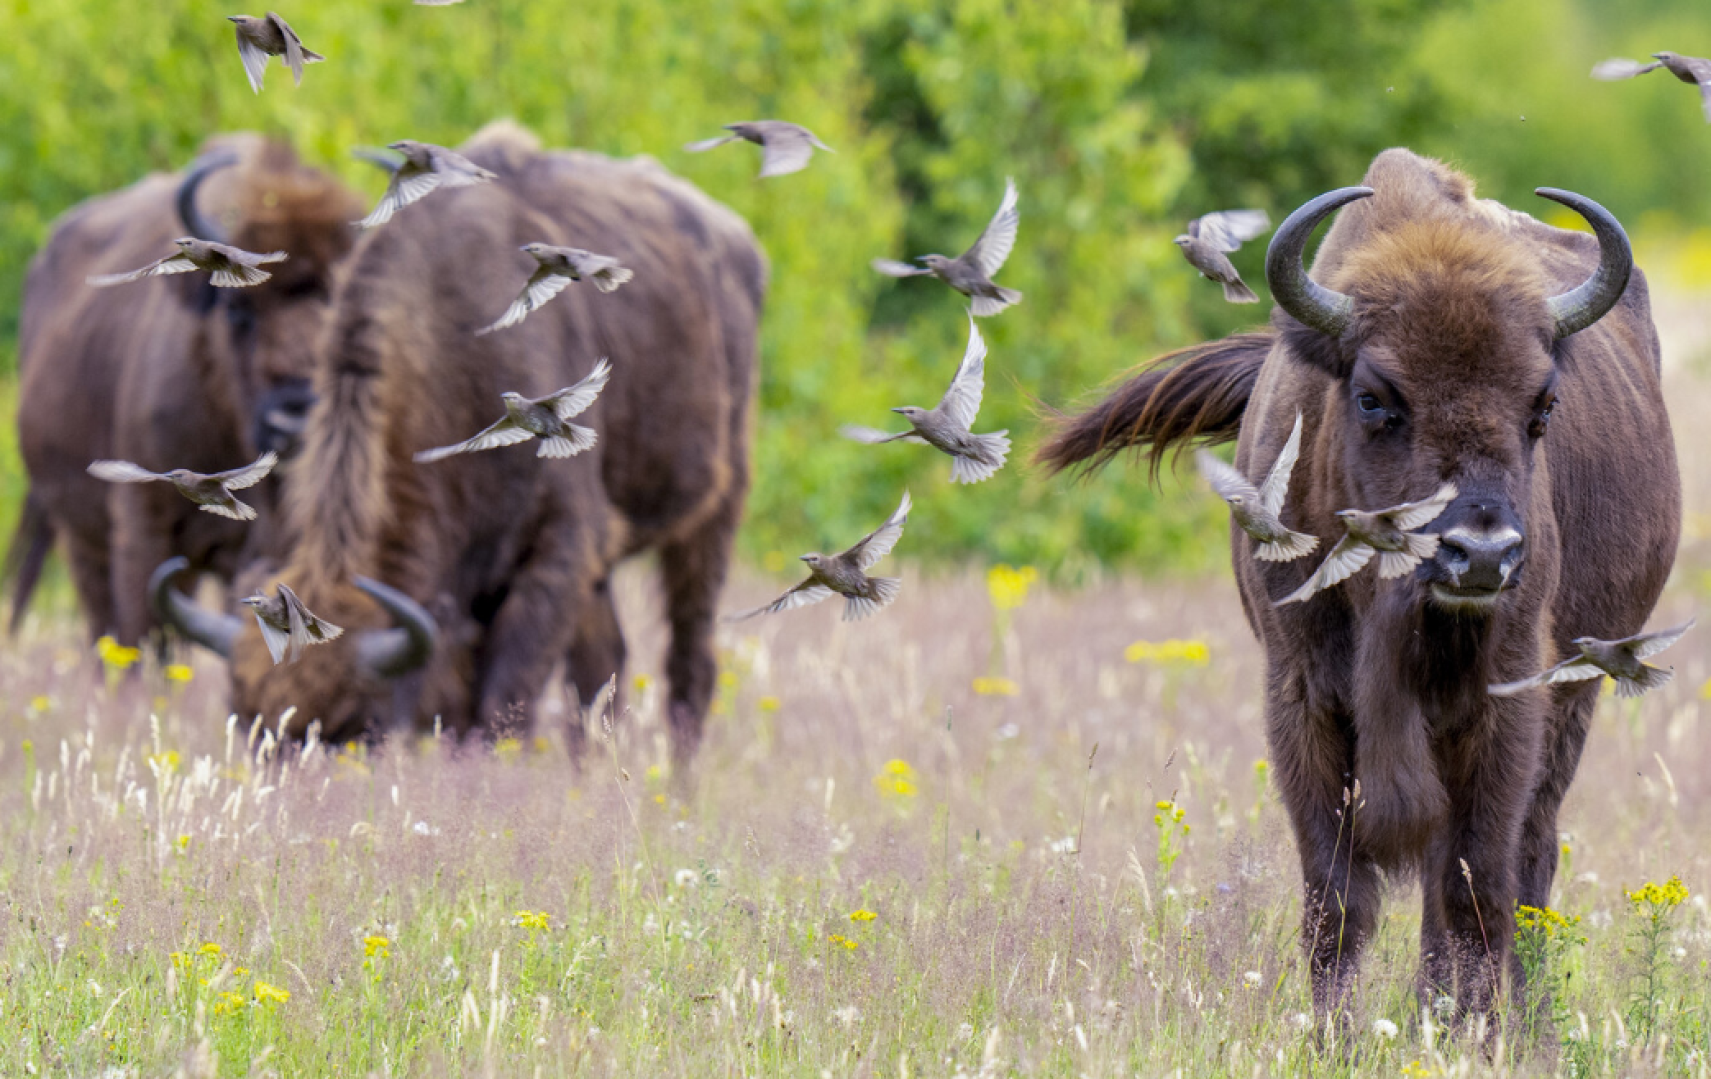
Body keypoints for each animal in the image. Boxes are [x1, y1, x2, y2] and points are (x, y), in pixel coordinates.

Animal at [154, 123, 765, 764]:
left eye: (358, 728)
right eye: (249, 726)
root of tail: (735, 241)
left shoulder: (556, 556)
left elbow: (504, 706)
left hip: (709, 524)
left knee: (690, 667)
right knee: (601, 671)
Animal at [1040, 149, 1679, 1022]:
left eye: (1543, 403)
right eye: (1375, 397)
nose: (1480, 554)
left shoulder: (1506, 701)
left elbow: (1475, 882)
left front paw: (1470, 1027)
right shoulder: (1303, 697)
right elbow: (1337, 894)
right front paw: (1333, 1031)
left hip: (1577, 690)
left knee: (1527, 859)